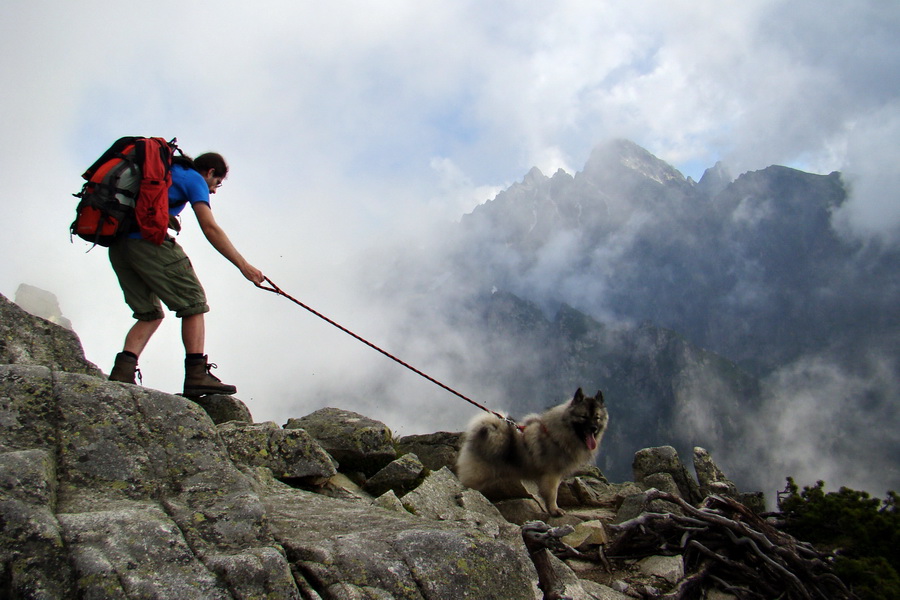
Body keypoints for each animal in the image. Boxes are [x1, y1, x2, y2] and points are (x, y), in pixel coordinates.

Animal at [458, 390, 604, 516]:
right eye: (583, 416)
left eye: (597, 418)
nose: (594, 428)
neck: (557, 435)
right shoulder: (552, 475)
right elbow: (552, 494)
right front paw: (555, 510)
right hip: (477, 474)